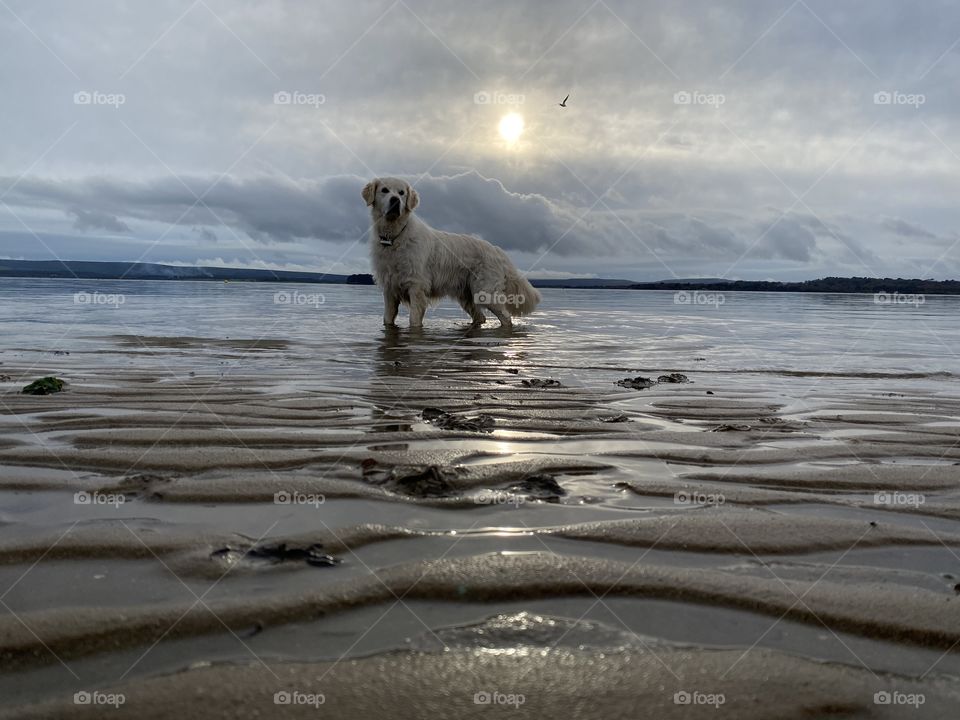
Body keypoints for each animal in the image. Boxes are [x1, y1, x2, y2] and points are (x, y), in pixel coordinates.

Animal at [360, 177, 540, 330]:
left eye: (401, 192)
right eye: (384, 190)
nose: (395, 200)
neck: (394, 237)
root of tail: (496, 249)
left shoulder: (417, 286)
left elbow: (414, 321)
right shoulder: (390, 289)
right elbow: (387, 319)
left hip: (486, 293)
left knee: (506, 319)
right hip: (467, 296)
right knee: (480, 317)